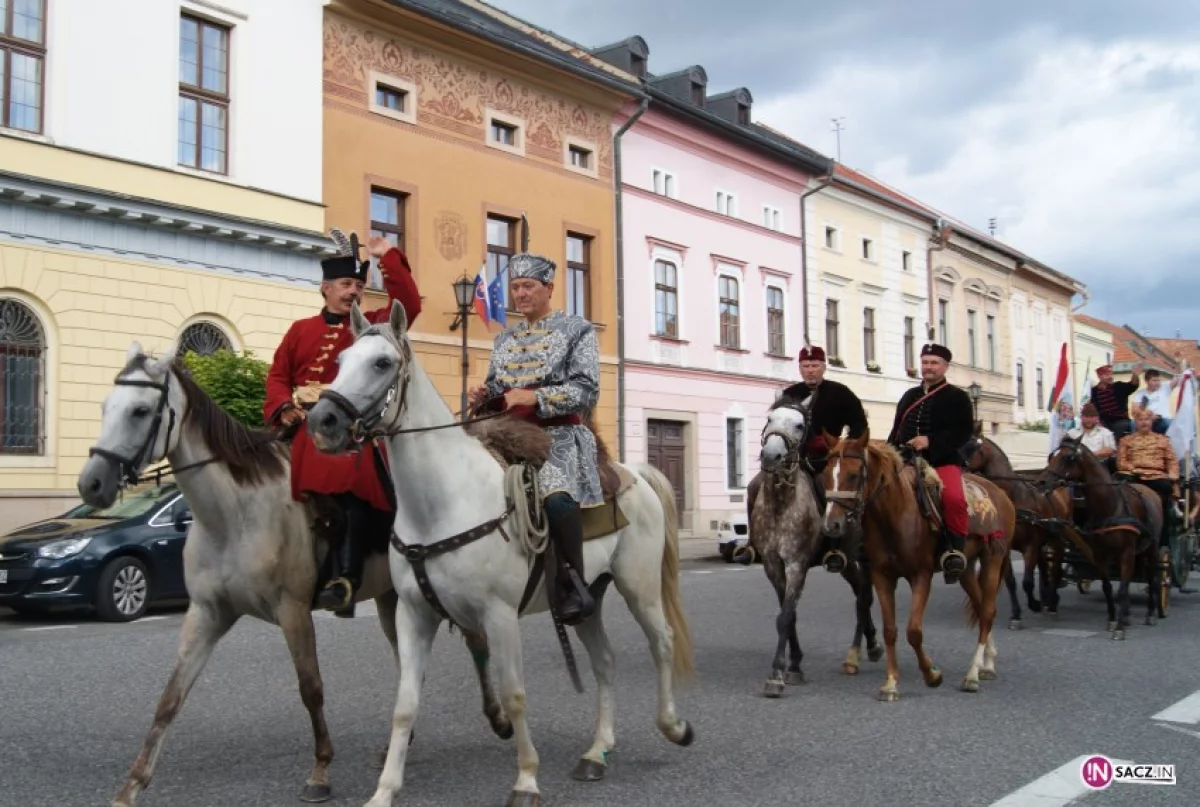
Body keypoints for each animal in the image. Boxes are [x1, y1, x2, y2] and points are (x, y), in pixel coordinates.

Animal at [70, 341, 511, 806]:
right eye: (104, 406)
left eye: (139, 411)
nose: (91, 484)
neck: (234, 514)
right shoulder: (206, 613)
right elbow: (170, 697)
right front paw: (132, 784)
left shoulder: (293, 610)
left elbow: (310, 688)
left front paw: (320, 770)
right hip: (393, 600)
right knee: (408, 663)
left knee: (474, 641)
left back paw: (498, 719)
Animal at [304, 301, 696, 806]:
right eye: (340, 360)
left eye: (382, 363)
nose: (322, 422)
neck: (443, 502)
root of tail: (633, 474)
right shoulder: (414, 615)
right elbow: (405, 704)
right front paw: (384, 790)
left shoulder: (499, 615)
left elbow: (514, 695)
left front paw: (526, 779)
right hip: (588, 598)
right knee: (605, 662)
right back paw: (596, 753)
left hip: (639, 587)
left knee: (661, 642)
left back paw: (674, 726)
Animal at [816, 427, 1012, 701]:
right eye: (825, 475)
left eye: (854, 475)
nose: (831, 525)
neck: (895, 516)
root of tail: (1000, 492)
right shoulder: (882, 576)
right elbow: (890, 629)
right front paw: (891, 683)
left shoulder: (921, 575)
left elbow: (913, 631)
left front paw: (932, 674)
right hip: (965, 568)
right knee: (981, 604)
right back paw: (987, 663)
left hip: (993, 559)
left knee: (987, 612)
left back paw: (972, 674)